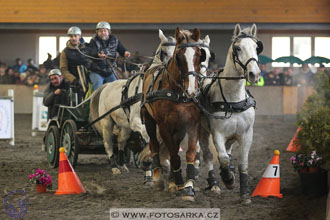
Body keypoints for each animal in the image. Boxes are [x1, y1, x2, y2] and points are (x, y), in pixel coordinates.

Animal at [87, 30, 175, 175]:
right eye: (165, 52)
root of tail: (106, 86)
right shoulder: (135, 121)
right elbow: (147, 135)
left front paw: (165, 162)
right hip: (107, 122)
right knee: (108, 143)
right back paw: (115, 167)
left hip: (125, 126)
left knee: (121, 142)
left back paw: (122, 164)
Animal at [141, 27, 205, 201]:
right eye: (179, 56)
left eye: (199, 54)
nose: (191, 90)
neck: (178, 93)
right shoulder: (164, 126)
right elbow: (174, 156)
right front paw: (179, 183)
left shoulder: (192, 124)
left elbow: (189, 154)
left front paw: (188, 187)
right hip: (149, 120)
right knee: (155, 145)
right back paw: (158, 179)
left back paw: (171, 181)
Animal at [199, 23, 262, 204]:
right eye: (238, 48)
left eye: (256, 47)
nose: (254, 74)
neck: (233, 100)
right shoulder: (217, 133)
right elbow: (223, 158)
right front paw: (229, 180)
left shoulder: (246, 134)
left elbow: (243, 163)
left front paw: (245, 194)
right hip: (202, 132)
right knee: (208, 156)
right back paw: (214, 184)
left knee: (228, 150)